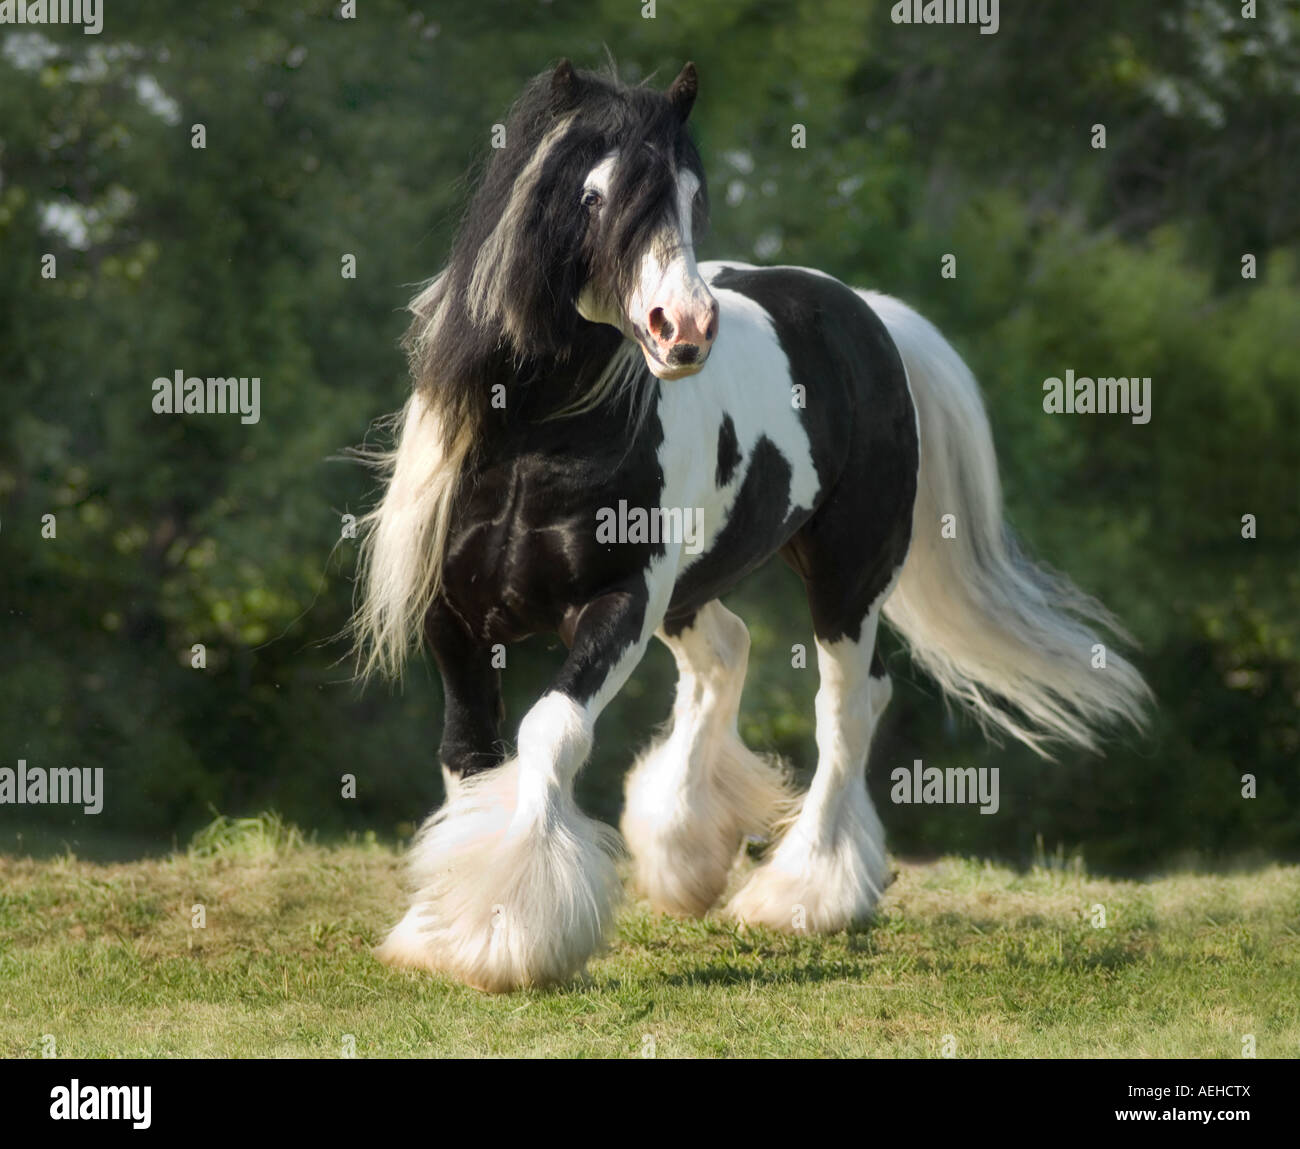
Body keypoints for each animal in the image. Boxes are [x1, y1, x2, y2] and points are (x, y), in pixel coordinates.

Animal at [353, 62, 1149, 993]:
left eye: (692, 196)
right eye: (591, 194)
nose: (685, 329)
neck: (536, 439)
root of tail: (867, 312)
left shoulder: (620, 603)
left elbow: (551, 732)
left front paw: (505, 935)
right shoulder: (455, 619)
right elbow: (470, 758)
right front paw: (441, 931)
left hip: (843, 579)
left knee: (846, 705)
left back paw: (804, 894)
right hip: (694, 589)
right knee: (728, 656)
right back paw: (688, 857)